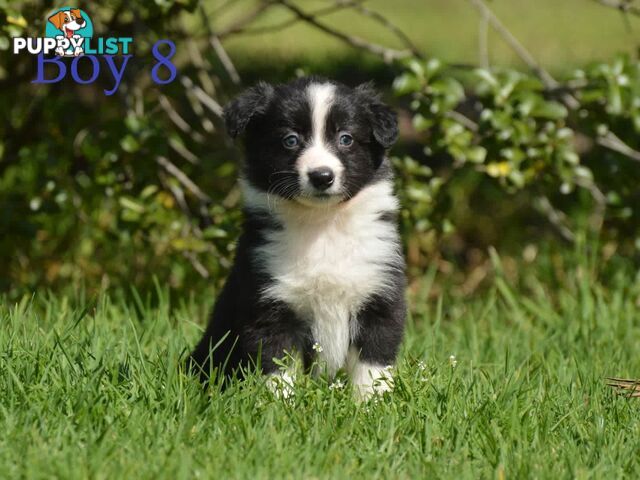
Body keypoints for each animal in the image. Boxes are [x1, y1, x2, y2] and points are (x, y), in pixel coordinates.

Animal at [190, 77, 408, 400]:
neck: (322, 224)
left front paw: (371, 403)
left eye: (346, 139)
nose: (322, 176)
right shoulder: (269, 302)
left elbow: (372, 363)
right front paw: (280, 407)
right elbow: (277, 365)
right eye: (290, 140)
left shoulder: (379, 294)